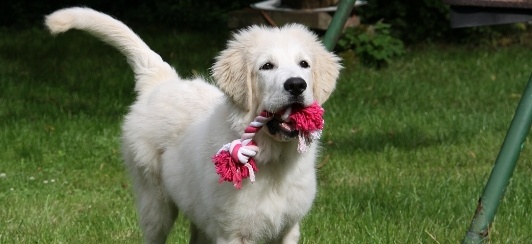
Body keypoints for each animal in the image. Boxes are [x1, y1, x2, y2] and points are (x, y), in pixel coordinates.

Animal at [45, 7, 340, 244]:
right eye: (267, 66)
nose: (296, 85)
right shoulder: (232, 232)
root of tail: (163, 81)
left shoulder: (289, 227)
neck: (273, 158)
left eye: (304, 64)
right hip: (155, 203)